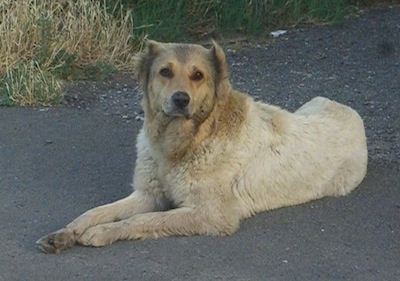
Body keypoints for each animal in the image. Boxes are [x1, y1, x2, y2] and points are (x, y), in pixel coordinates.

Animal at [36, 40, 368, 254]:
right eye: (165, 72)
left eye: (198, 75)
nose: (181, 99)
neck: (184, 141)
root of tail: (350, 110)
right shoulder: (148, 194)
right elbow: (97, 211)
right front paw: (66, 233)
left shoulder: (210, 214)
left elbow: (143, 220)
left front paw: (103, 233)